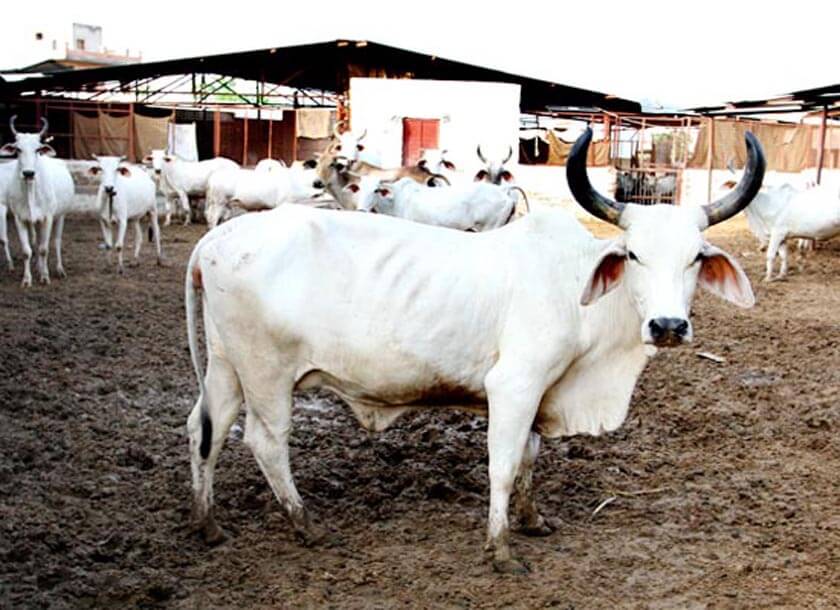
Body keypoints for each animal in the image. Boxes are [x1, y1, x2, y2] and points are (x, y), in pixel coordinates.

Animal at [0, 116, 74, 287]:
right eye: (18, 149)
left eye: (37, 150)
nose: (28, 173)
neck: (30, 191)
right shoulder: (20, 218)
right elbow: (27, 251)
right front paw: (27, 279)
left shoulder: (48, 218)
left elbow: (44, 249)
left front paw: (45, 277)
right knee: (36, 241)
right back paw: (38, 266)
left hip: (60, 216)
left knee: (56, 241)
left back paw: (59, 269)